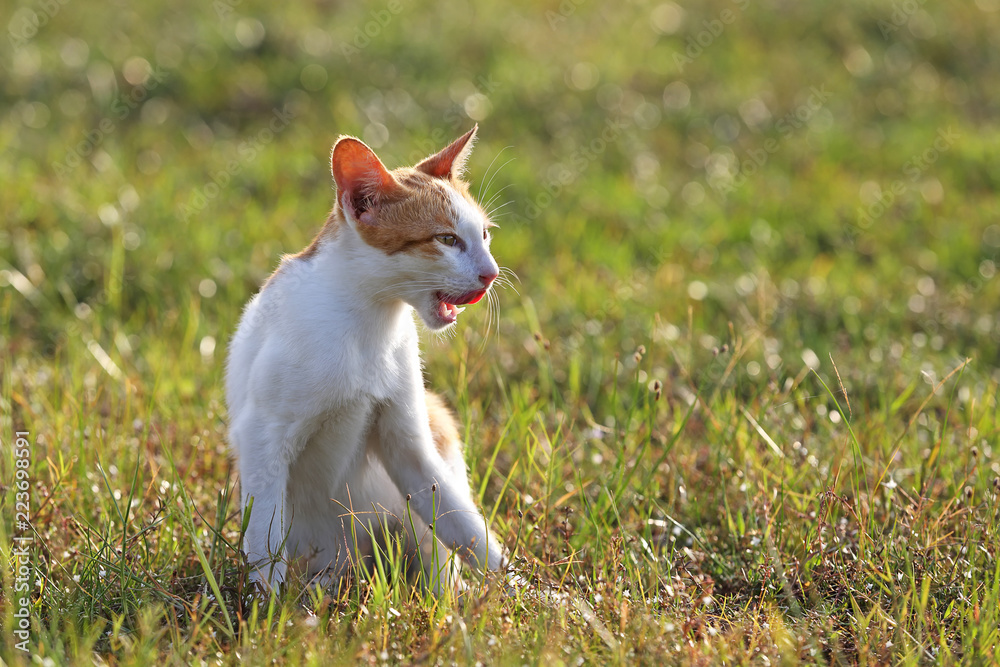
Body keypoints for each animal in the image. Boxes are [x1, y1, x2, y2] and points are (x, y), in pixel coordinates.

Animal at [228, 126, 508, 596]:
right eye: (447, 239)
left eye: (485, 235)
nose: (492, 273)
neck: (369, 322)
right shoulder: (263, 435)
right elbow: (265, 531)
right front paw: (268, 603)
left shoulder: (408, 441)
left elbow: (462, 523)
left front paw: (530, 592)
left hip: (435, 419)